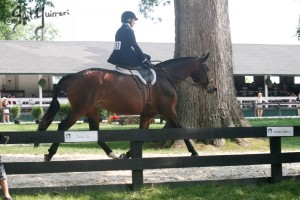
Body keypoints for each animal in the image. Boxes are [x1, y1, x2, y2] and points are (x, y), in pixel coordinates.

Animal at [39, 52, 216, 161]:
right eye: (207, 68)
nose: (213, 89)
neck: (166, 78)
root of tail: (74, 76)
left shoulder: (148, 115)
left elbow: (141, 136)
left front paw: (127, 154)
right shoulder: (168, 111)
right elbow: (181, 129)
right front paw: (194, 152)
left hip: (92, 110)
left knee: (95, 131)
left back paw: (113, 154)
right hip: (79, 109)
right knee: (62, 127)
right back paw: (49, 154)